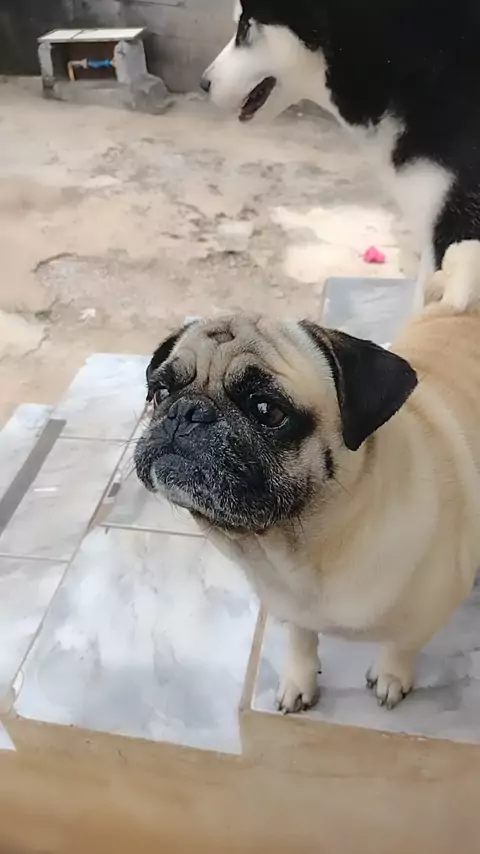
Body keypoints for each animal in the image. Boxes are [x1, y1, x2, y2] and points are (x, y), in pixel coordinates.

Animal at [135, 241, 480, 713]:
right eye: (161, 392)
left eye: (267, 410)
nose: (186, 413)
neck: (299, 551)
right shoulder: (290, 609)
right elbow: (301, 640)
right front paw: (299, 681)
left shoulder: (429, 614)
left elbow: (402, 645)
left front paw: (391, 676)